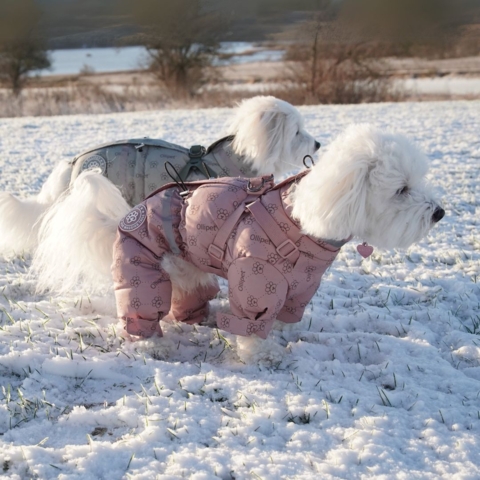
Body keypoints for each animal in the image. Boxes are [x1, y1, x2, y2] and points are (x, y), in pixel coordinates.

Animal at [111, 172, 344, 338]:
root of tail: (135, 210)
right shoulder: (254, 281)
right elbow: (252, 327)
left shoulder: (302, 290)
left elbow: (285, 315)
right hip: (140, 264)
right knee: (142, 305)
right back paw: (155, 345)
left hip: (186, 270)